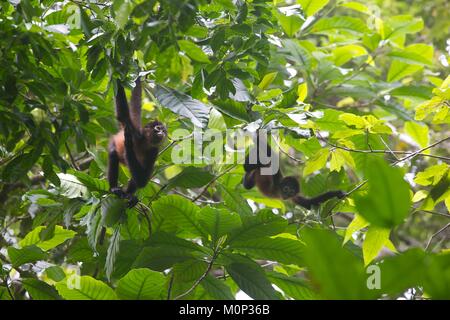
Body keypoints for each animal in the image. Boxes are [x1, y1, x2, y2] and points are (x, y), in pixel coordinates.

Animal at [107, 77, 167, 208]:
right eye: (158, 128)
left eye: (164, 131)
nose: (162, 133)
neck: (145, 142)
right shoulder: (134, 131)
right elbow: (122, 114)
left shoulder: (154, 151)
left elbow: (142, 180)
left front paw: (128, 145)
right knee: (113, 153)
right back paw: (114, 188)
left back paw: (129, 195)